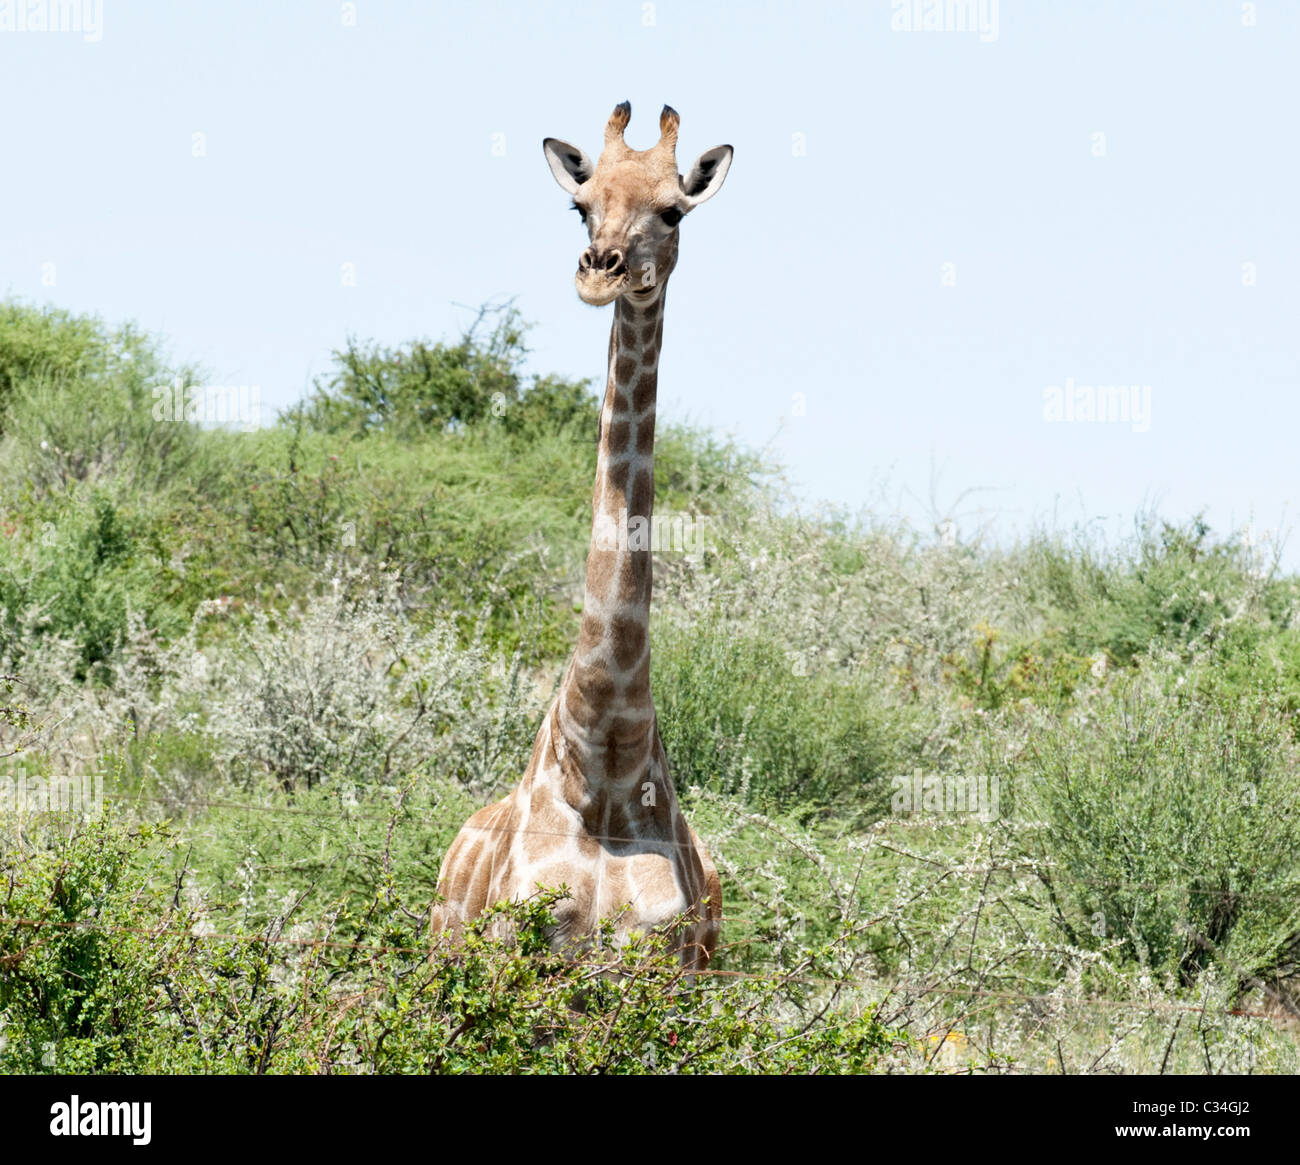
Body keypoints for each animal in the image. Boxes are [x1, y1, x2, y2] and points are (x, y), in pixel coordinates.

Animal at [426, 104, 733, 967]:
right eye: (580, 203)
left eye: (674, 210)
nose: (600, 269)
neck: (604, 751)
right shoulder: (513, 953)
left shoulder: (663, 966)